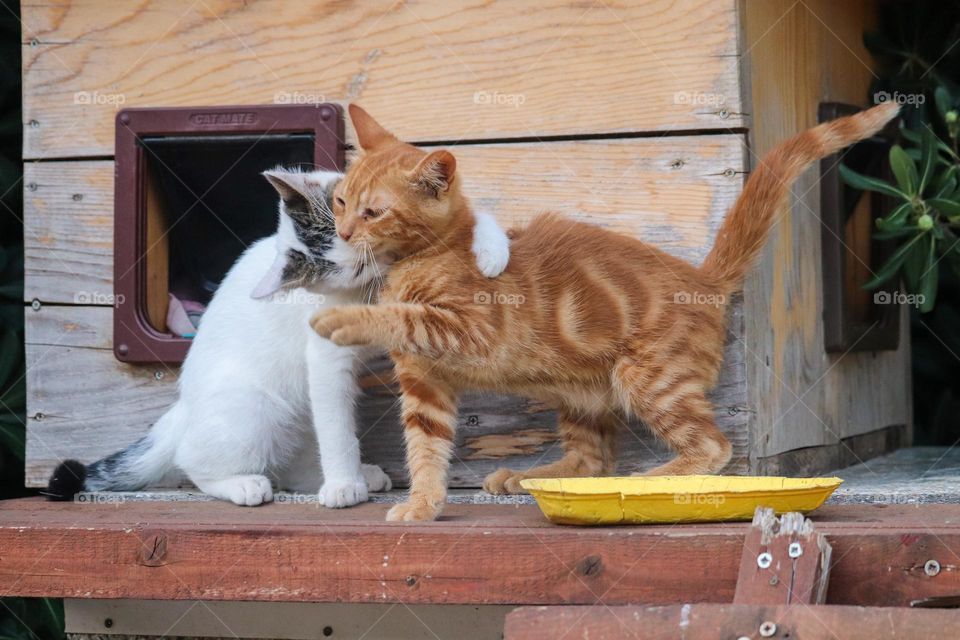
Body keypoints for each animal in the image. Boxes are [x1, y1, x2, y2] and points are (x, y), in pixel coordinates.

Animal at [47, 168, 510, 508]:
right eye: (352, 269)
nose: (367, 254)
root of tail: (181, 411)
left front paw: (491, 252)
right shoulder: (325, 358)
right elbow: (339, 434)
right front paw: (343, 486)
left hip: (297, 413)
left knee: (299, 455)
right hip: (253, 407)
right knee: (195, 461)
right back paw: (246, 485)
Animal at [314, 100, 900, 520]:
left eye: (373, 212)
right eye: (340, 201)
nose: (342, 233)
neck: (421, 259)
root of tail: (702, 279)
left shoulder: (470, 328)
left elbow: (403, 318)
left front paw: (343, 321)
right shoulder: (424, 383)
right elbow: (425, 447)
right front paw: (423, 504)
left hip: (648, 377)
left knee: (712, 447)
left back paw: (652, 480)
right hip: (578, 391)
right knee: (593, 459)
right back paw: (529, 476)